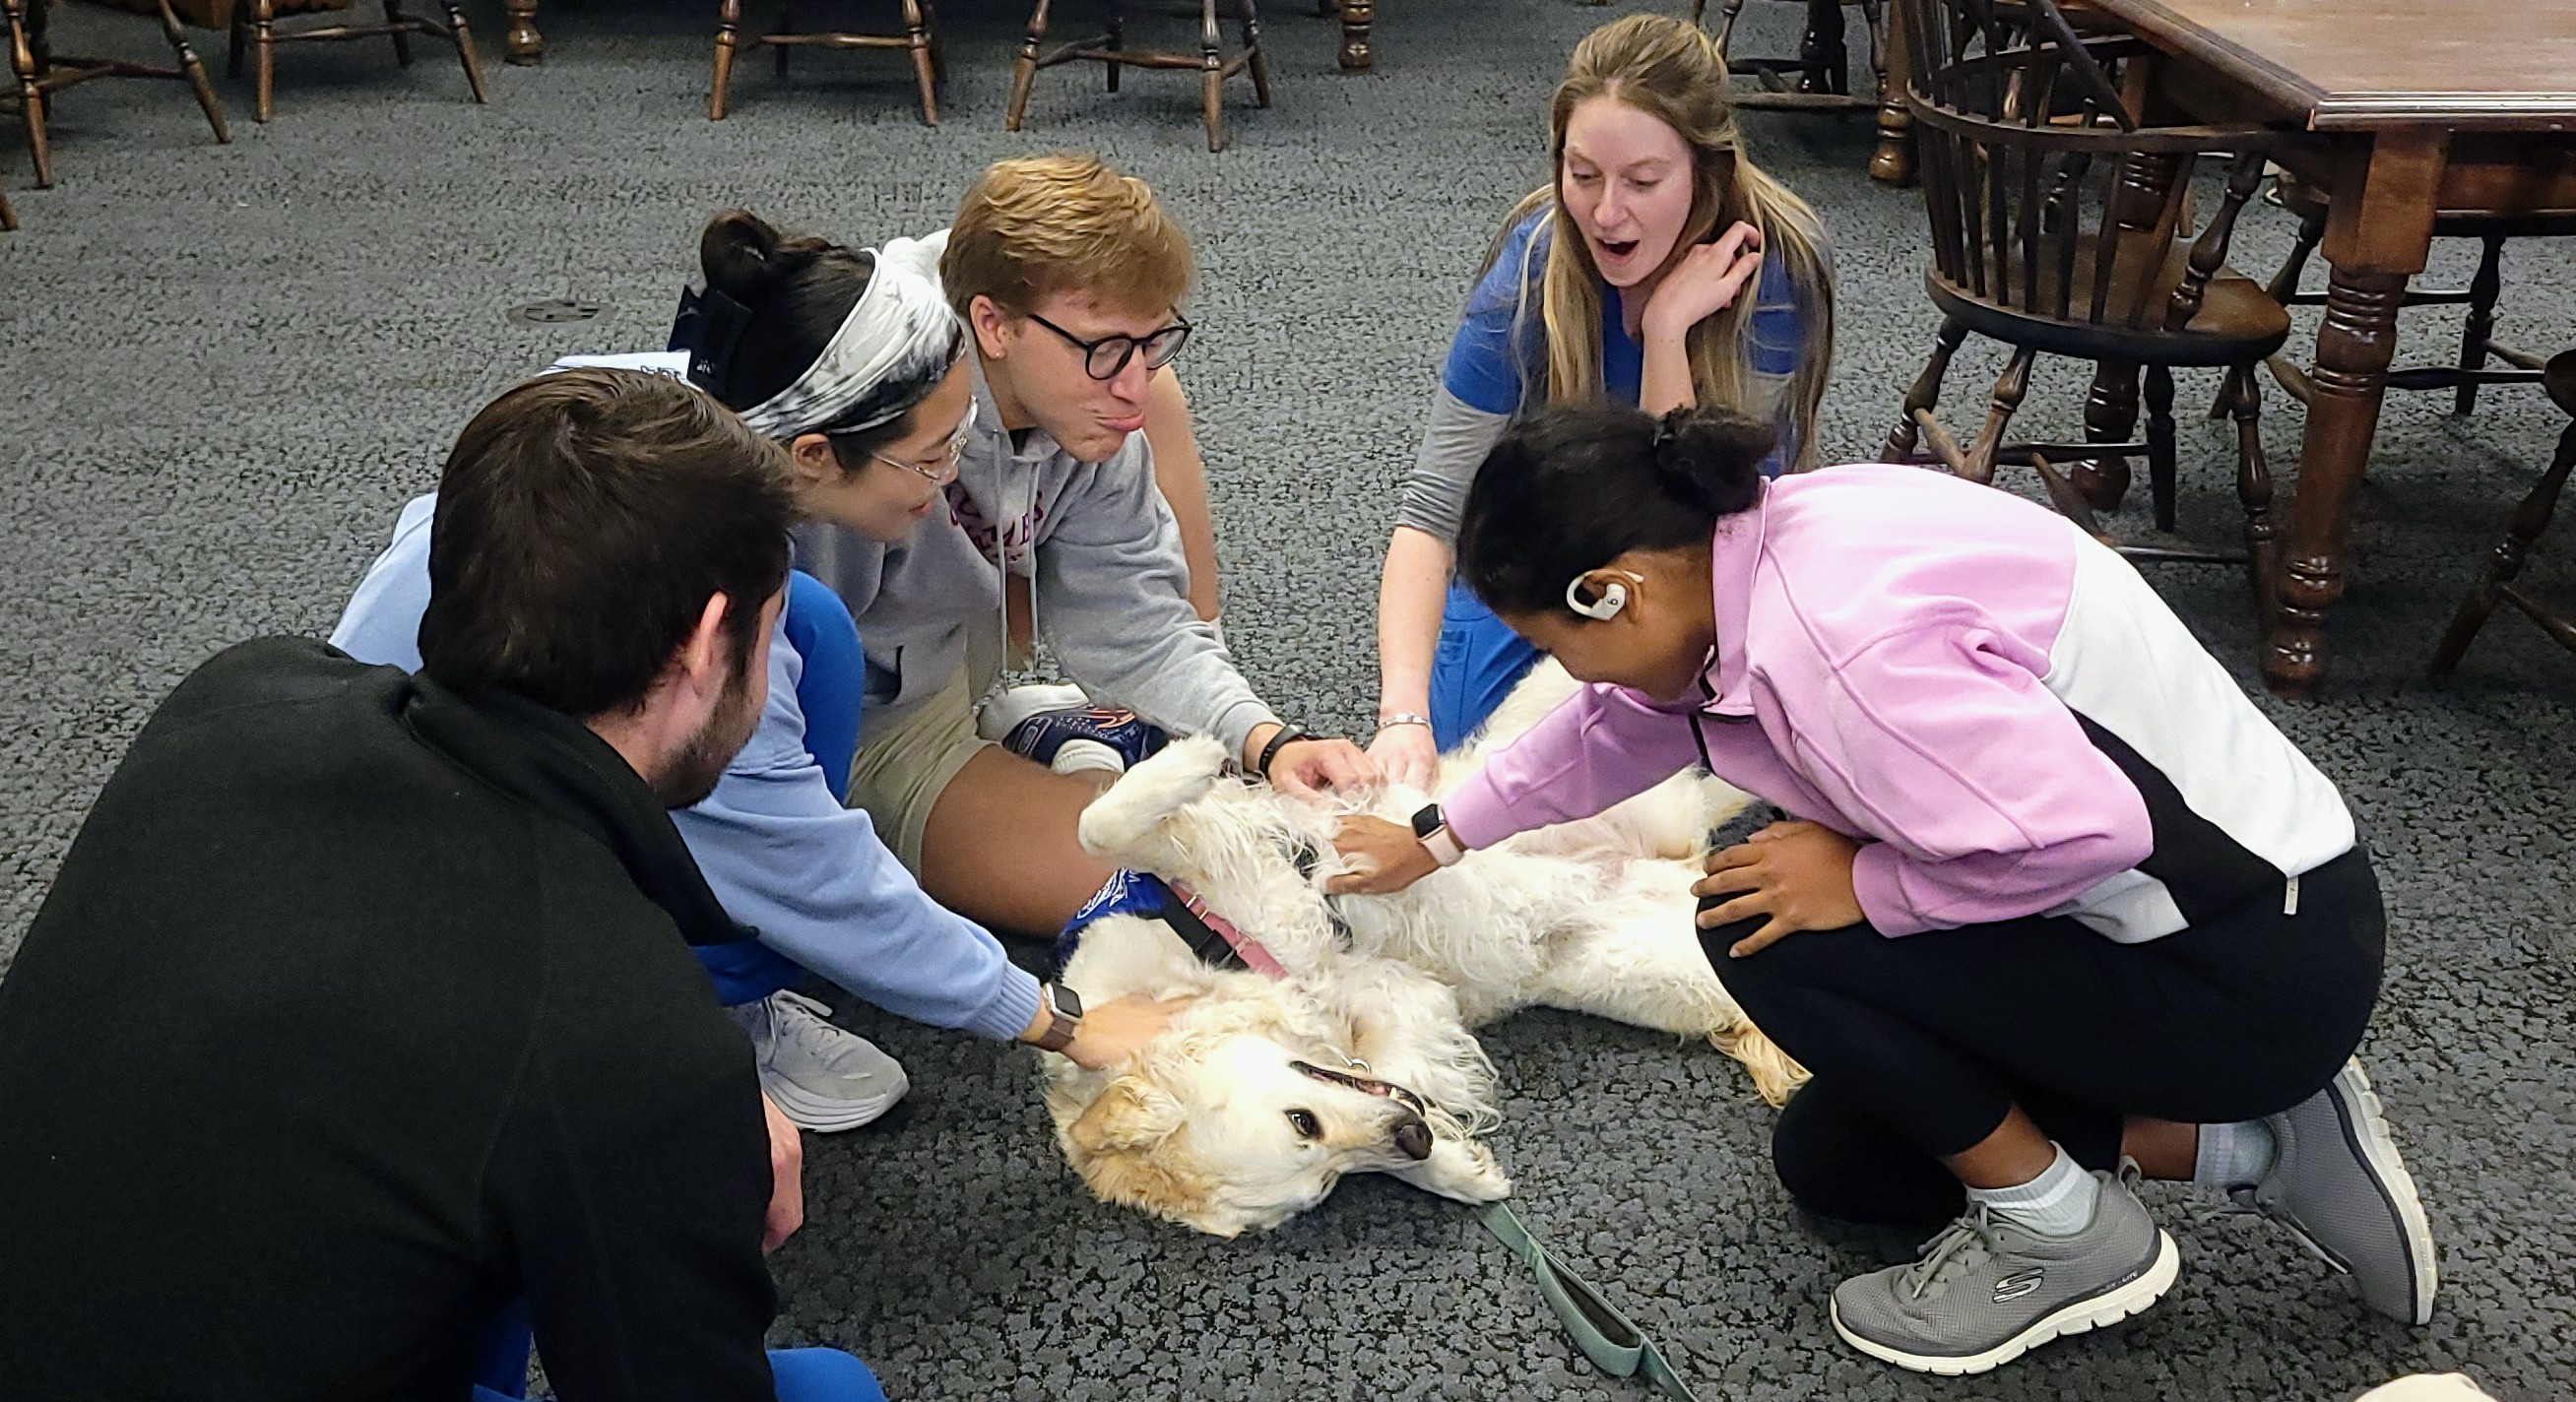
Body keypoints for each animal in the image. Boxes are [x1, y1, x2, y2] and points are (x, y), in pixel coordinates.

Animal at [1035, 665, 1803, 1232]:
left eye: (1300, 1121)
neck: (1230, 964)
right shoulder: (1397, 1005)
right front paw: (1457, 1170)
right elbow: (1404, 1071)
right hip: (1690, 960)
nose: (1413, 1139)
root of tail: (1688, 858)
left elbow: (1098, 824)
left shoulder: (1215, 849)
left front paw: (1190, 757)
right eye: (1324, 1181)